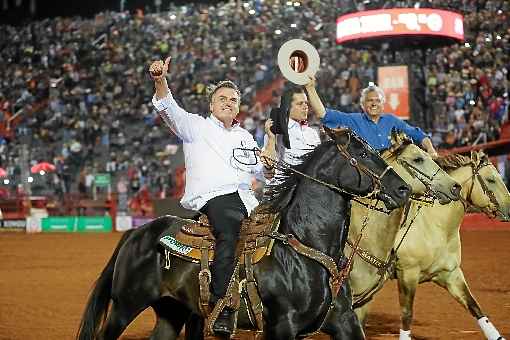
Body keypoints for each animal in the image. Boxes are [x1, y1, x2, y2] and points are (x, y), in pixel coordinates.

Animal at [76, 129, 410, 340]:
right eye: (363, 153)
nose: (402, 188)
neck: (305, 249)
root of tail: (137, 232)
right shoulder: (281, 327)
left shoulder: (344, 322)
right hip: (125, 307)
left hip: (172, 312)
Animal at [356, 152, 508, 340]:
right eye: (491, 180)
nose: (509, 208)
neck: (436, 225)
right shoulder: (408, 274)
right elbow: (407, 314)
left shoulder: (451, 274)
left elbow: (475, 307)